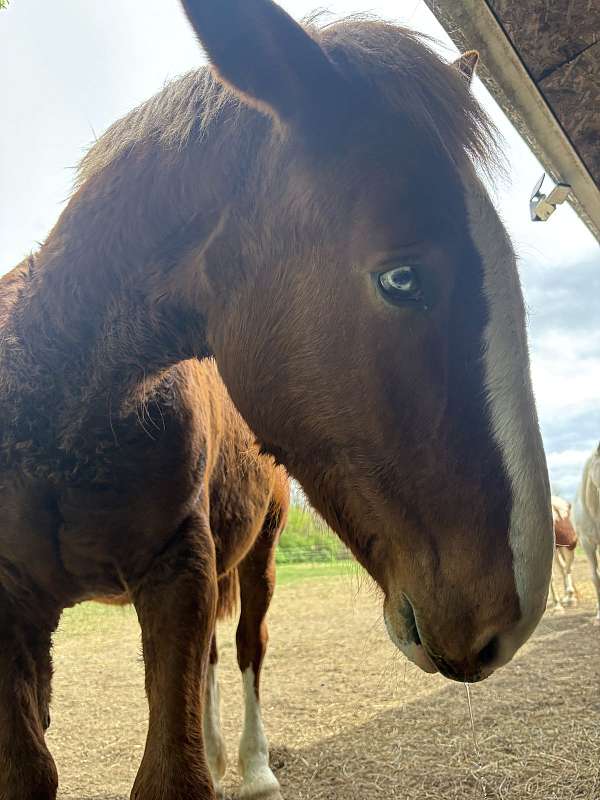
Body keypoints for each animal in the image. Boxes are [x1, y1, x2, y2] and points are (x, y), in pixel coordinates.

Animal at [0, 2, 553, 798]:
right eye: (402, 278)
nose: (509, 619)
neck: (58, 409)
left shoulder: (181, 574)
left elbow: (175, 765)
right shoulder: (14, 611)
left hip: (255, 555)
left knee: (245, 646)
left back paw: (253, 767)